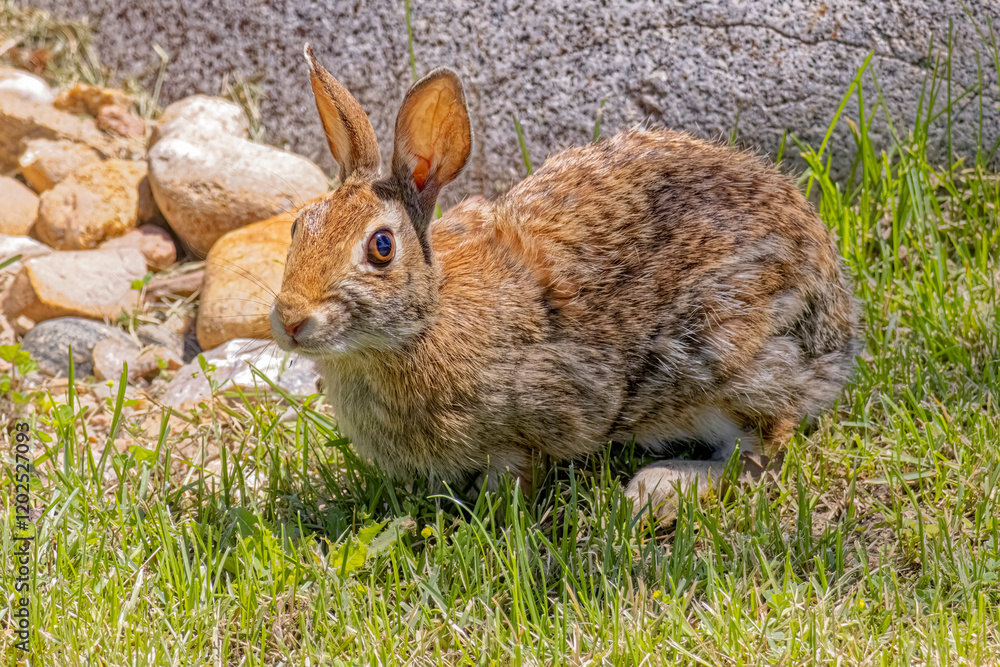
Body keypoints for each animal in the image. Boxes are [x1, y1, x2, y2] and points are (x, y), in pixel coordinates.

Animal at [270, 44, 861, 517]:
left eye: (382, 247)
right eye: (299, 225)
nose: (292, 322)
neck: (426, 319)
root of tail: (836, 334)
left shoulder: (526, 428)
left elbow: (517, 476)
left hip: (724, 358)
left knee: (764, 446)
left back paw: (654, 489)